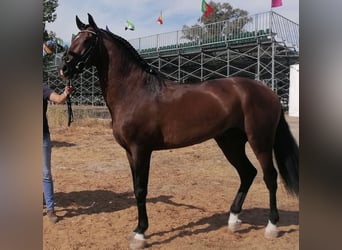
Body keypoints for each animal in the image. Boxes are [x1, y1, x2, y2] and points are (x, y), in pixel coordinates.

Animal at [60, 14, 298, 250]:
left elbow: (141, 189)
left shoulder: (141, 150)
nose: (65, 68)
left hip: (260, 141)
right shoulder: (129, 152)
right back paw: (233, 221)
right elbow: (136, 187)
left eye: (88, 40)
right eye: (75, 39)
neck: (135, 92)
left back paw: (271, 227)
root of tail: (269, 92)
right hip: (230, 142)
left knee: (269, 177)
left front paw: (140, 233)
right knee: (247, 173)